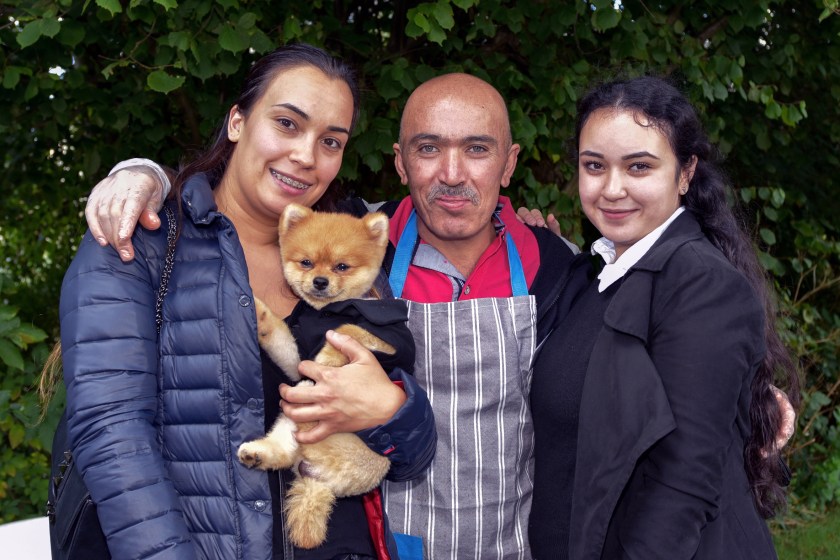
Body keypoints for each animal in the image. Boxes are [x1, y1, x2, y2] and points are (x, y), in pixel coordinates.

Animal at [237, 203, 414, 549]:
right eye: (306, 262)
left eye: (342, 266)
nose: (319, 281)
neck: (325, 312)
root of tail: (322, 481)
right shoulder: (295, 361)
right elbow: (277, 332)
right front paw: (258, 312)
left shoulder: (390, 338)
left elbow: (349, 330)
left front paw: (329, 357)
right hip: (290, 429)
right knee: (281, 452)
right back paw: (256, 454)